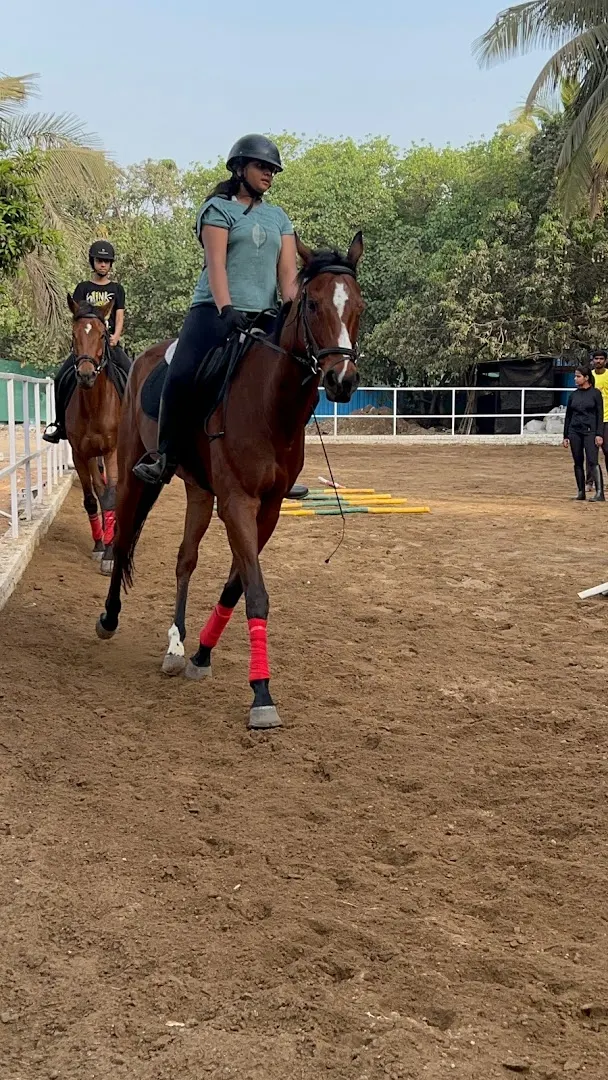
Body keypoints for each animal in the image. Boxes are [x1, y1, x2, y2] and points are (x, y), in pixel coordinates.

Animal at [95, 233, 364, 729]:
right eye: (313, 304)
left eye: (358, 304)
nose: (342, 379)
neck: (270, 405)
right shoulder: (238, 501)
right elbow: (256, 593)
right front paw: (261, 694)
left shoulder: (268, 509)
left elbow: (237, 585)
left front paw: (201, 653)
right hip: (133, 472)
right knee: (122, 541)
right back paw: (109, 618)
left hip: (200, 490)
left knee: (185, 559)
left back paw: (176, 644)